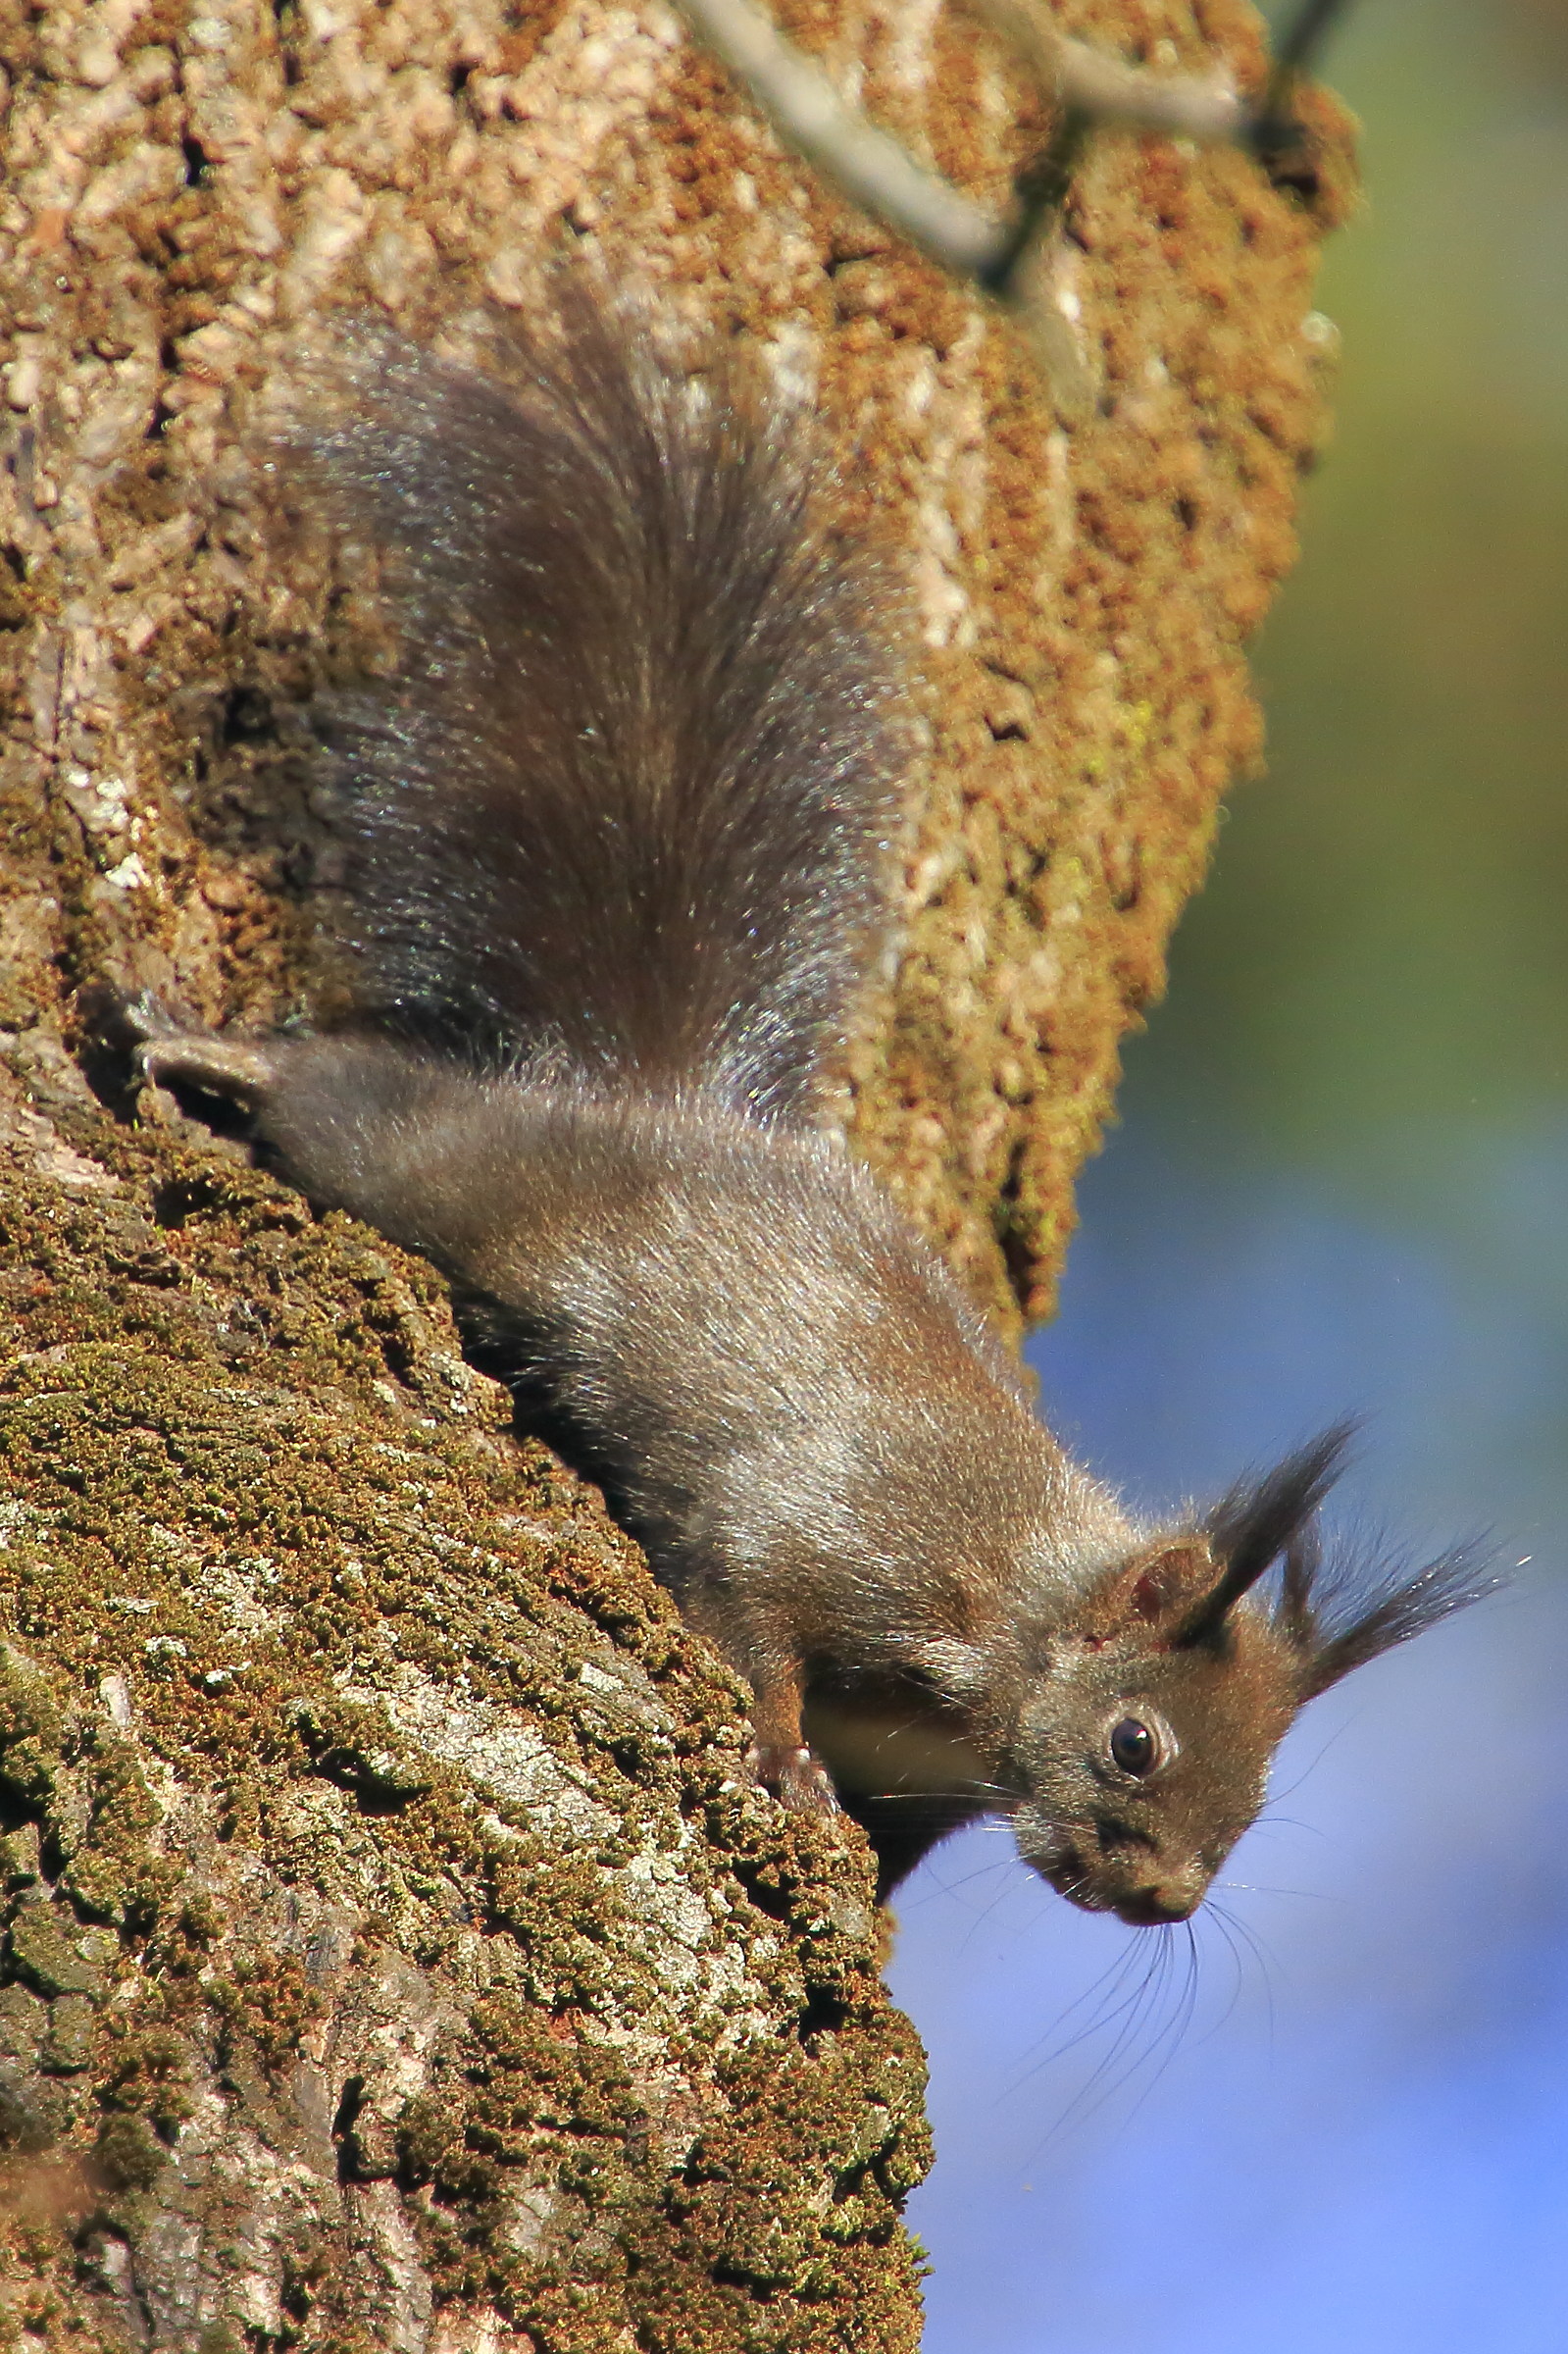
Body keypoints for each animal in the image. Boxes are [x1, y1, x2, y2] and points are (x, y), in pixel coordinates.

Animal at [120, 285, 1492, 1921]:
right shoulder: (823, 1524)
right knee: (355, 1106)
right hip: (469, 1169)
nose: (1164, 1898)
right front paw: (775, 1756)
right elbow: (748, 1599)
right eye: (1136, 1744)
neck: (1006, 1618)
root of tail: (661, 1106)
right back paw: (196, 1049)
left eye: (1256, 1797)